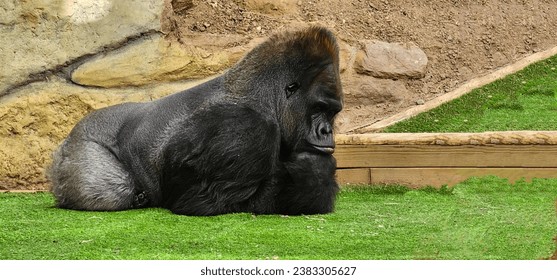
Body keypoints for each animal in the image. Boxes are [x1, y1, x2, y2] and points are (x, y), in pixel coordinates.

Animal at [48, 26, 344, 215]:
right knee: (112, 190)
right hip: (79, 147)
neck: (263, 96)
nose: (326, 130)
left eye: (333, 112)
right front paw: (314, 173)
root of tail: (63, 143)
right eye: (319, 108)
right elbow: (202, 201)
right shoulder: (245, 129)